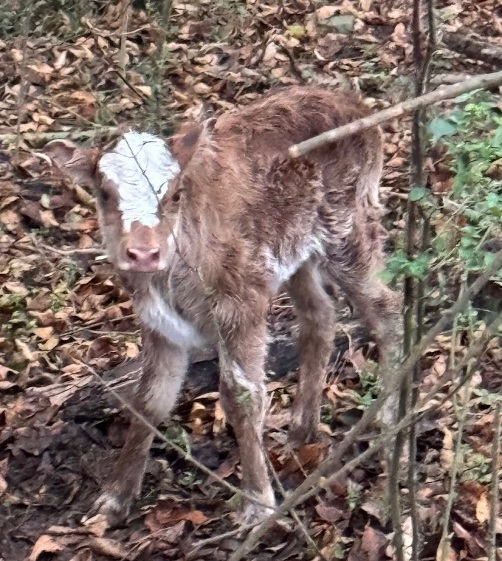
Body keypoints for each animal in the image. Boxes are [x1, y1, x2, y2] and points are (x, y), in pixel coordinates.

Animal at [46, 85, 400, 528]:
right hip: (294, 250)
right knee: (320, 315)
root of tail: (353, 104)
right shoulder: (158, 323)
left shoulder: (240, 306)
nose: (143, 253)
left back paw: (388, 416)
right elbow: (150, 398)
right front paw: (115, 498)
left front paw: (259, 502)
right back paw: (303, 428)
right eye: (105, 194)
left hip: (348, 227)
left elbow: (242, 396)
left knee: (386, 308)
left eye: (175, 194)